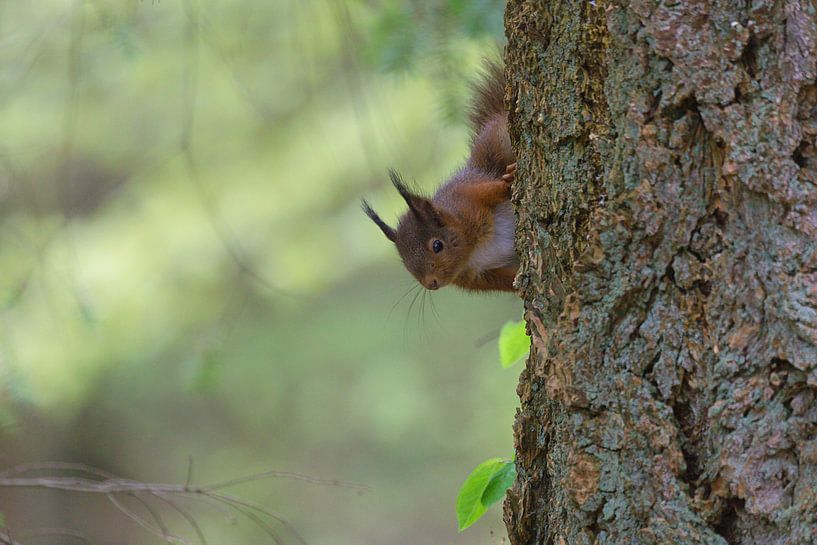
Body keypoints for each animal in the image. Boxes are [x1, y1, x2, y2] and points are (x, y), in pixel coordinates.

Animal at [358, 61, 516, 292]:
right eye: (404, 261)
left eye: (437, 245)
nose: (431, 284)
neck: (472, 249)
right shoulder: (477, 275)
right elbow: (505, 279)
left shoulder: (468, 198)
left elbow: (491, 191)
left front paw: (508, 184)